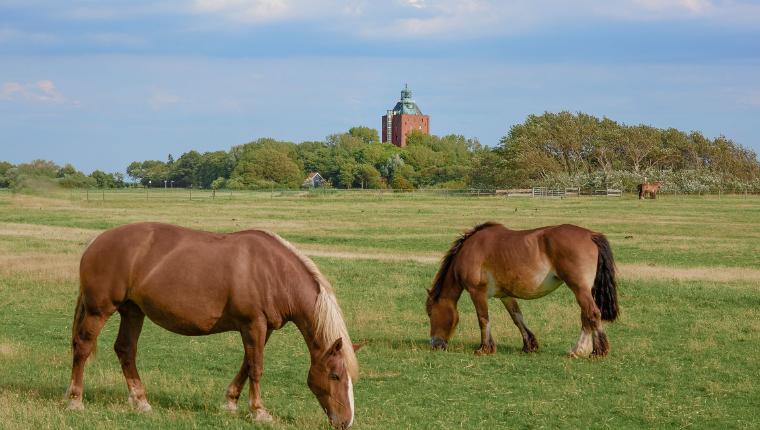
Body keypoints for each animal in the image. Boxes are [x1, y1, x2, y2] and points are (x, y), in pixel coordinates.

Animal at [65, 223, 360, 428]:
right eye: (335, 375)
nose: (345, 422)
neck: (273, 272)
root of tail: (96, 241)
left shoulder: (262, 329)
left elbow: (246, 365)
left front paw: (230, 403)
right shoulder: (253, 325)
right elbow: (256, 368)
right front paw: (259, 412)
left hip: (132, 311)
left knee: (125, 350)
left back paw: (141, 402)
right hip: (99, 311)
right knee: (83, 347)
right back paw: (75, 400)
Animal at [424, 223, 620, 358]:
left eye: (430, 313)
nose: (434, 344)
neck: (469, 250)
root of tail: (591, 235)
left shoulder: (477, 292)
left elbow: (483, 319)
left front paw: (484, 348)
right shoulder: (505, 295)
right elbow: (517, 317)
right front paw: (529, 345)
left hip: (579, 289)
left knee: (592, 313)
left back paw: (594, 351)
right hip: (583, 290)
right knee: (586, 316)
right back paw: (581, 350)